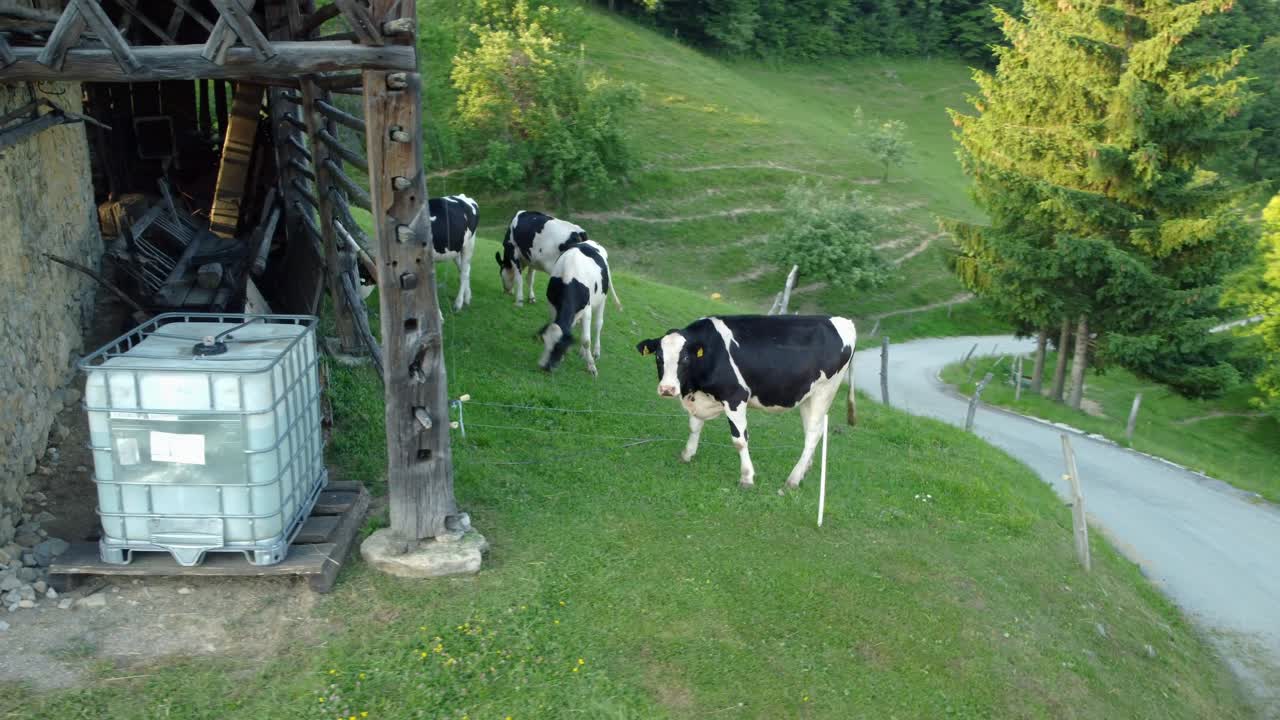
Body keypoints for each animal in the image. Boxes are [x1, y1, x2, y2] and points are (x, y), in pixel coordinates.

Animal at [537, 239, 623, 376]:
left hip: (602, 299)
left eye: (558, 346)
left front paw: (592, 367)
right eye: (545, 341)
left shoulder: (587, 310)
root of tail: (593, 242)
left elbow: (586, 340)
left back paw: (596, 351)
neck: (568, 278)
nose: (543, 366)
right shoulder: (552, 305)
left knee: (598, 324)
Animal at [635, 315, 857, 491]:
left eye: (686, 358)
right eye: (658, 357)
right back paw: (805, 469)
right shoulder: (699, 400)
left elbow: (740, 441)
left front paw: (747, 478)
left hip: (824, 391)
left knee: (812, 435)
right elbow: (694, 427)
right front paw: (687, 455)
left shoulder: (735, 396)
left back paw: (793, 480)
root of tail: (843, 320)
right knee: (813, 431)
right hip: (808, 397)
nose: (667, 389)